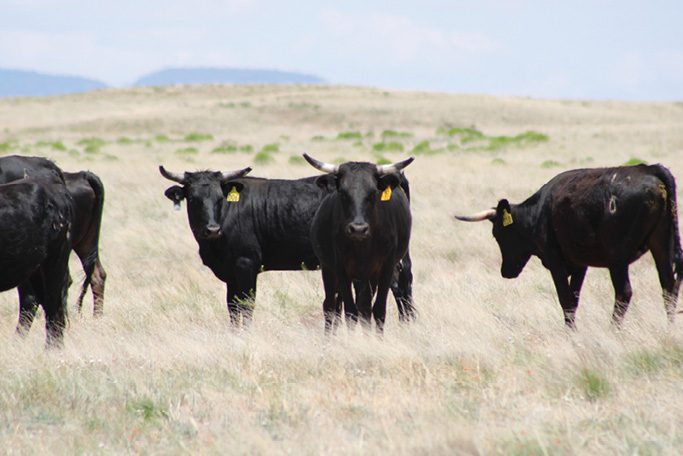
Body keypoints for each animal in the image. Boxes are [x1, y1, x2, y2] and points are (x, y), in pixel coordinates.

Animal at [160, 166, 416, 326]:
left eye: (219, 198)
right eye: (193, 199)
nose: (212, 229)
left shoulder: (246, 265)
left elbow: (246, 305)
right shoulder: (231, 273)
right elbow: (233, 307)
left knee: (398, 286)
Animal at [306, 154, 414, 334]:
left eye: (373, 192)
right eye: (342, 192)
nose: (358, 229)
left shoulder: (386, 267)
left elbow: (378, 310)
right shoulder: (341, 269)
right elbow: (350, 311)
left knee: (364, 308)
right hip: (329, 269)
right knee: (330, 306)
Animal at [454, 164, 683, 328]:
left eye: (497, 235)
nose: (506, 272)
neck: (538, 212)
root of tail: (650, 168)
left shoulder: (555, 261)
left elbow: (565, 299)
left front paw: (570, 334)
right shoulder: (579, 263)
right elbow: (574, 299)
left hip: (617, 257)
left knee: (623, 292)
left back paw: (613, 331)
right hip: (661, 243)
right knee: (668, 286)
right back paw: (669, 329)